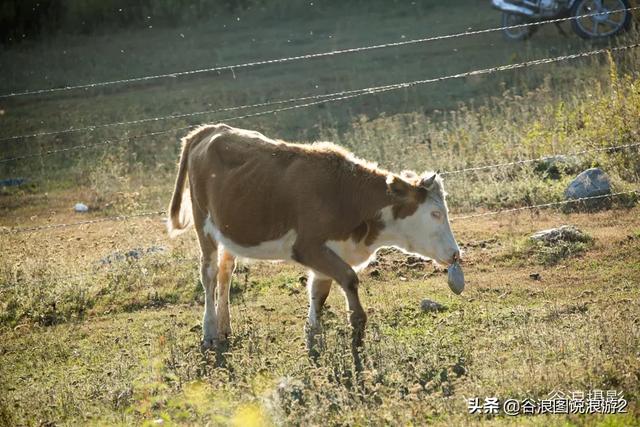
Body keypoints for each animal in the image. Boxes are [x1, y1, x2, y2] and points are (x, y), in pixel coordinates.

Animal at [168, 123, 462, 352]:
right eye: (436, 213)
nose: (455, 253)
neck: (346, 194)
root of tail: (209, 129)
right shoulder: (308, 247)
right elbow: (349, 280)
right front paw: (356, 332)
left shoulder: (329, 252)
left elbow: (318, 294)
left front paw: (313, 337)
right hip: (203, 224)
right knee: (208, 274)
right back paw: (209, 332)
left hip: (229, 229)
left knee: (225, 272)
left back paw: (224, 327)